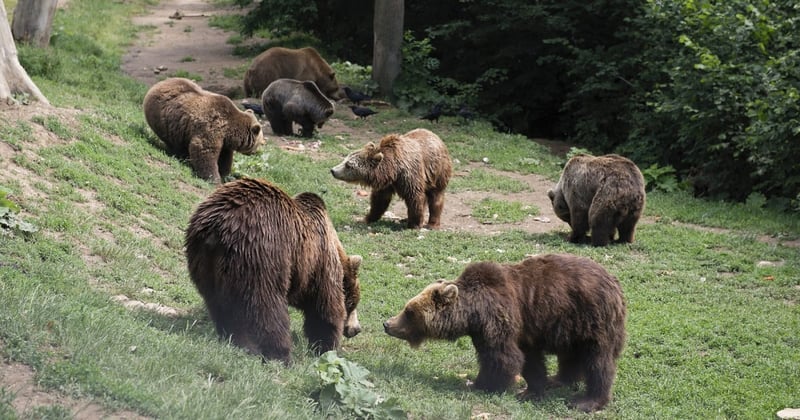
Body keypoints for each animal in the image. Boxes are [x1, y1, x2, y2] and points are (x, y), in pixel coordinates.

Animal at [184, 177, 362, 364]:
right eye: (353, 303)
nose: (356, 329)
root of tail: (216, 230)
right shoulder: (319, 263)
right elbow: (325, 308)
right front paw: (326, 348)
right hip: (262, 254)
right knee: (267, 308)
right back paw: (280, 354)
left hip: (204, 263)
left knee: (221, 305)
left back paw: (237, 340)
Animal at [384, 254, 628, 412]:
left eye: (409, 311)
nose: (387, 323)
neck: (472, 314)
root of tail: (615, 284)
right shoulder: (525, 331)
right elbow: (530, 360)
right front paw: (532, 389)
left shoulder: (498, 319)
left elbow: (501, 357)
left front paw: (479, 384)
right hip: (571, 326)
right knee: (571, 355)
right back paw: (558, 379)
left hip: (592, 319)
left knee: (598, 361)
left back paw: (587, 400)